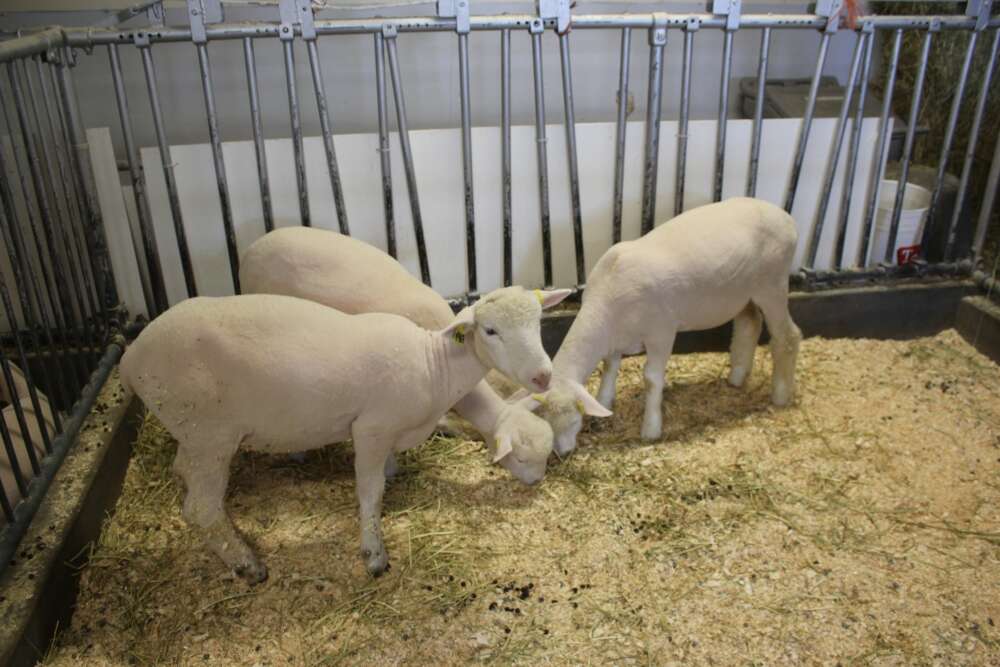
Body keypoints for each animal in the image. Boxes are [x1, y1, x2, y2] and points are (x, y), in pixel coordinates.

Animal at [119, 286, 567, 582]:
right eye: (490, 331)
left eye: (538, 322)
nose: (543, 375)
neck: (435, 364)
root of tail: (130, 357)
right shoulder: (371, 426)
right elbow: (369, 490)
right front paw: (374, 553)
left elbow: (385, 473)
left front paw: (393, 473)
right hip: (209, 433)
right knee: (201, 508)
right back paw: (246, 563)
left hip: (195, 436)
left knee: (186, 474)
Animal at [519, 197, 802, 455]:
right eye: (543, 416)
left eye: (572, 414)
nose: (561, 454)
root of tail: (786, 218)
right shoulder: (615, 337)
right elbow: (610, 367)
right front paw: (605, 401)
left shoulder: (662, 332)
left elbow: (652, 378)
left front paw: (651, 429)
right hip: (743, 294)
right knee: (749, 323)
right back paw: (737, 377)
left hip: (772, 284)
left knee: (787, 336)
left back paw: (780, 395)